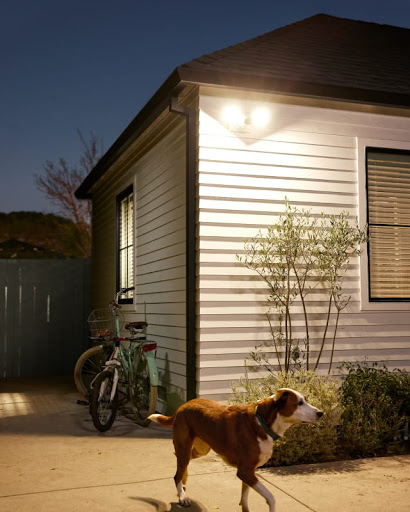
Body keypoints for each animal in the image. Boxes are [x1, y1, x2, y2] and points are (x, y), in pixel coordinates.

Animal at [149, 388, 322, 512]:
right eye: (299, 403)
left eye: (305, 400)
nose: (321, 413)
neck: (263, 423)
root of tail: (182, 406)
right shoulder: (245, 471)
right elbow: (271, 498)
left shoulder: (249, 472)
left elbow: (244, 498)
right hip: (185, 448)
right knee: (177, 473)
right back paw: (182, 496)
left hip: (200, 449)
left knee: (181, 463)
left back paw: (183, 484)